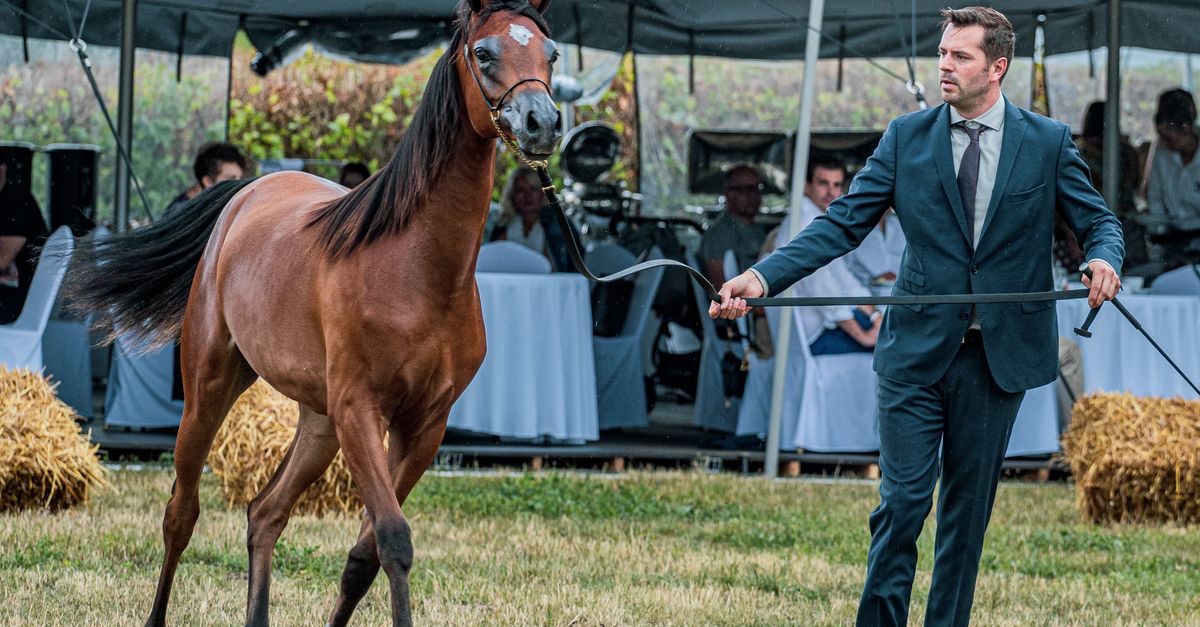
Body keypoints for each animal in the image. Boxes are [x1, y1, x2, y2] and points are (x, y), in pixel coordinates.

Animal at [65, 1, 562, 625]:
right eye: (484, 52)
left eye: (552, 53)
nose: (542, 121)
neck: (418, 269)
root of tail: (247, 192)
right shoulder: (359, 411)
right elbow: (394, 540)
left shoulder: (424, 426)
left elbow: (365, 554)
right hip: (210, 388)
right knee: (182, 512)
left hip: (318, 423)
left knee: (264, 513)